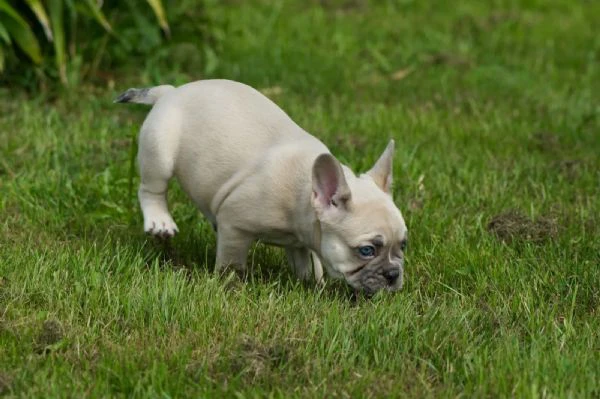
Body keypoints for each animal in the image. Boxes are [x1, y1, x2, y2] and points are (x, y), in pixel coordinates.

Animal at [116, 79, 408, 296]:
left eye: (403, 245)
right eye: (366, 250)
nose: (393, 274)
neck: (303, 193)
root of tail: (171, 91)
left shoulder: (303, 239)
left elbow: (306, 262)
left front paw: (312, 283)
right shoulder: (235, 224)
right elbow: (231, 262)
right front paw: (230, 285)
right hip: (160, 150)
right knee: (151, 189)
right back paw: (160, 221)